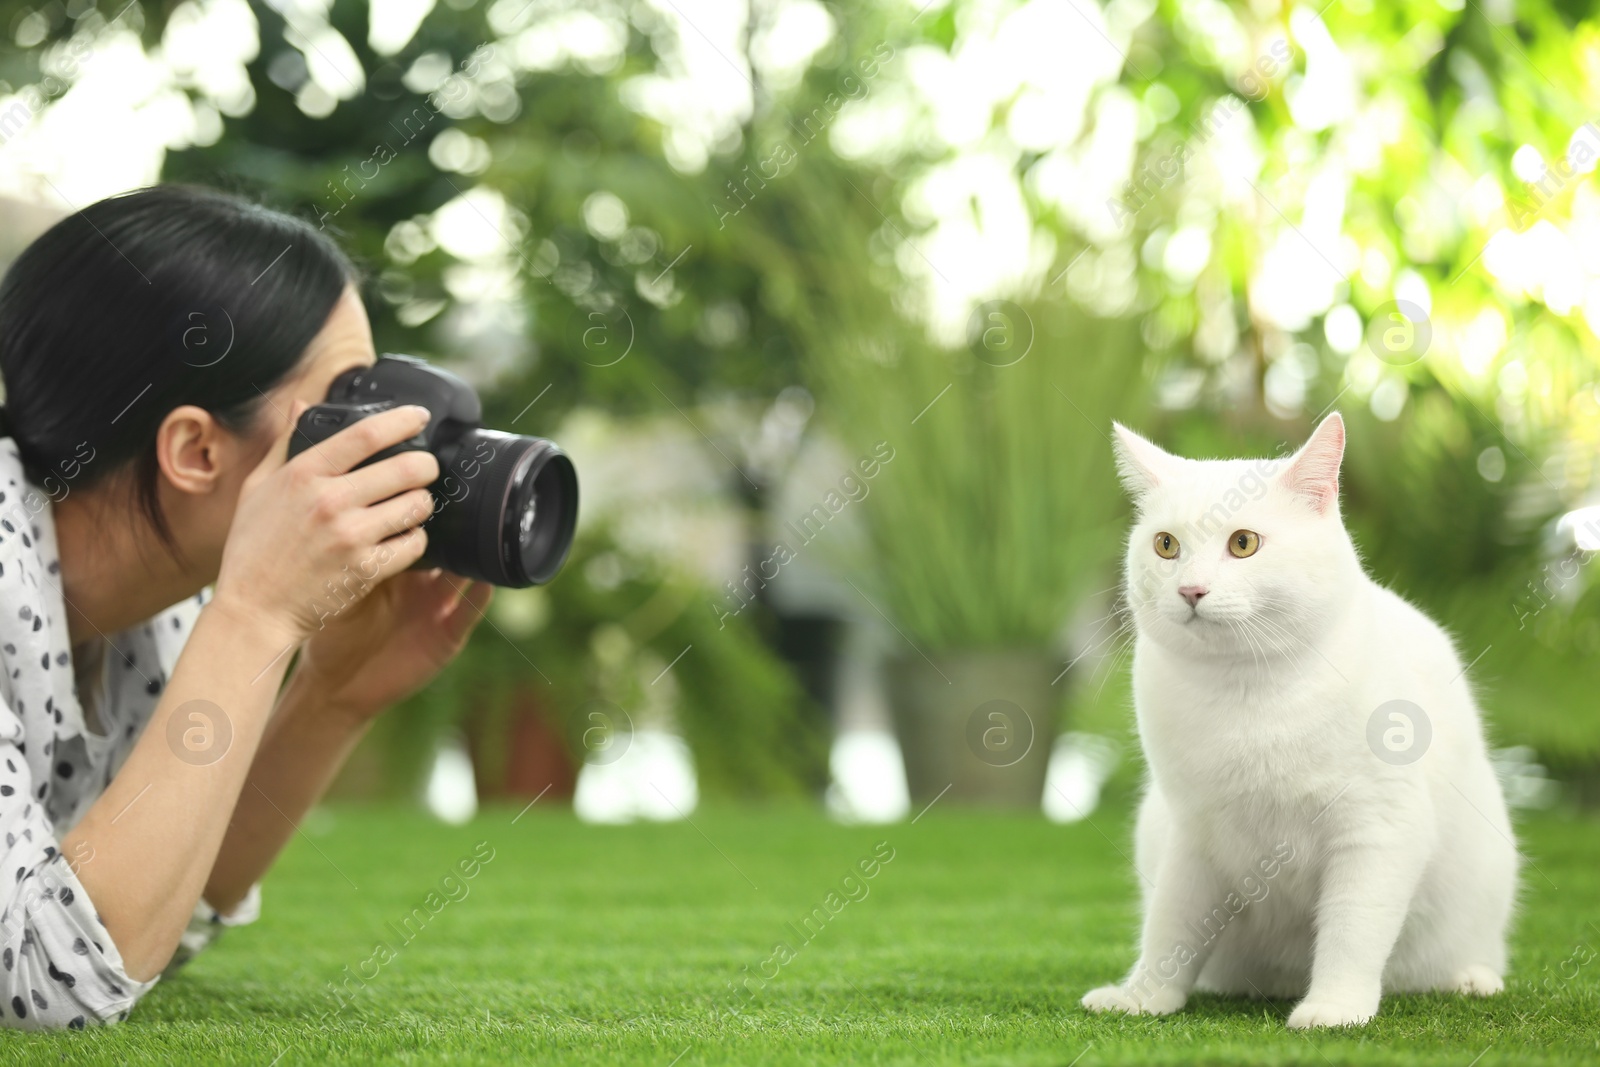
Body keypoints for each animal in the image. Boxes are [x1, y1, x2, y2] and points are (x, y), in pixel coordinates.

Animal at [1081, 412, 1516, 1030]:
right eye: (1166, 545)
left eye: (1243, 543)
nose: (1189, 589)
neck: (1247, 695)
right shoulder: (1191, 834)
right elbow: (1171, 924)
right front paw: (1144, 997)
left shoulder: (1379, 828)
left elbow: (1353, 929)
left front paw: (1334, 1009)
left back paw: (1471, 979)